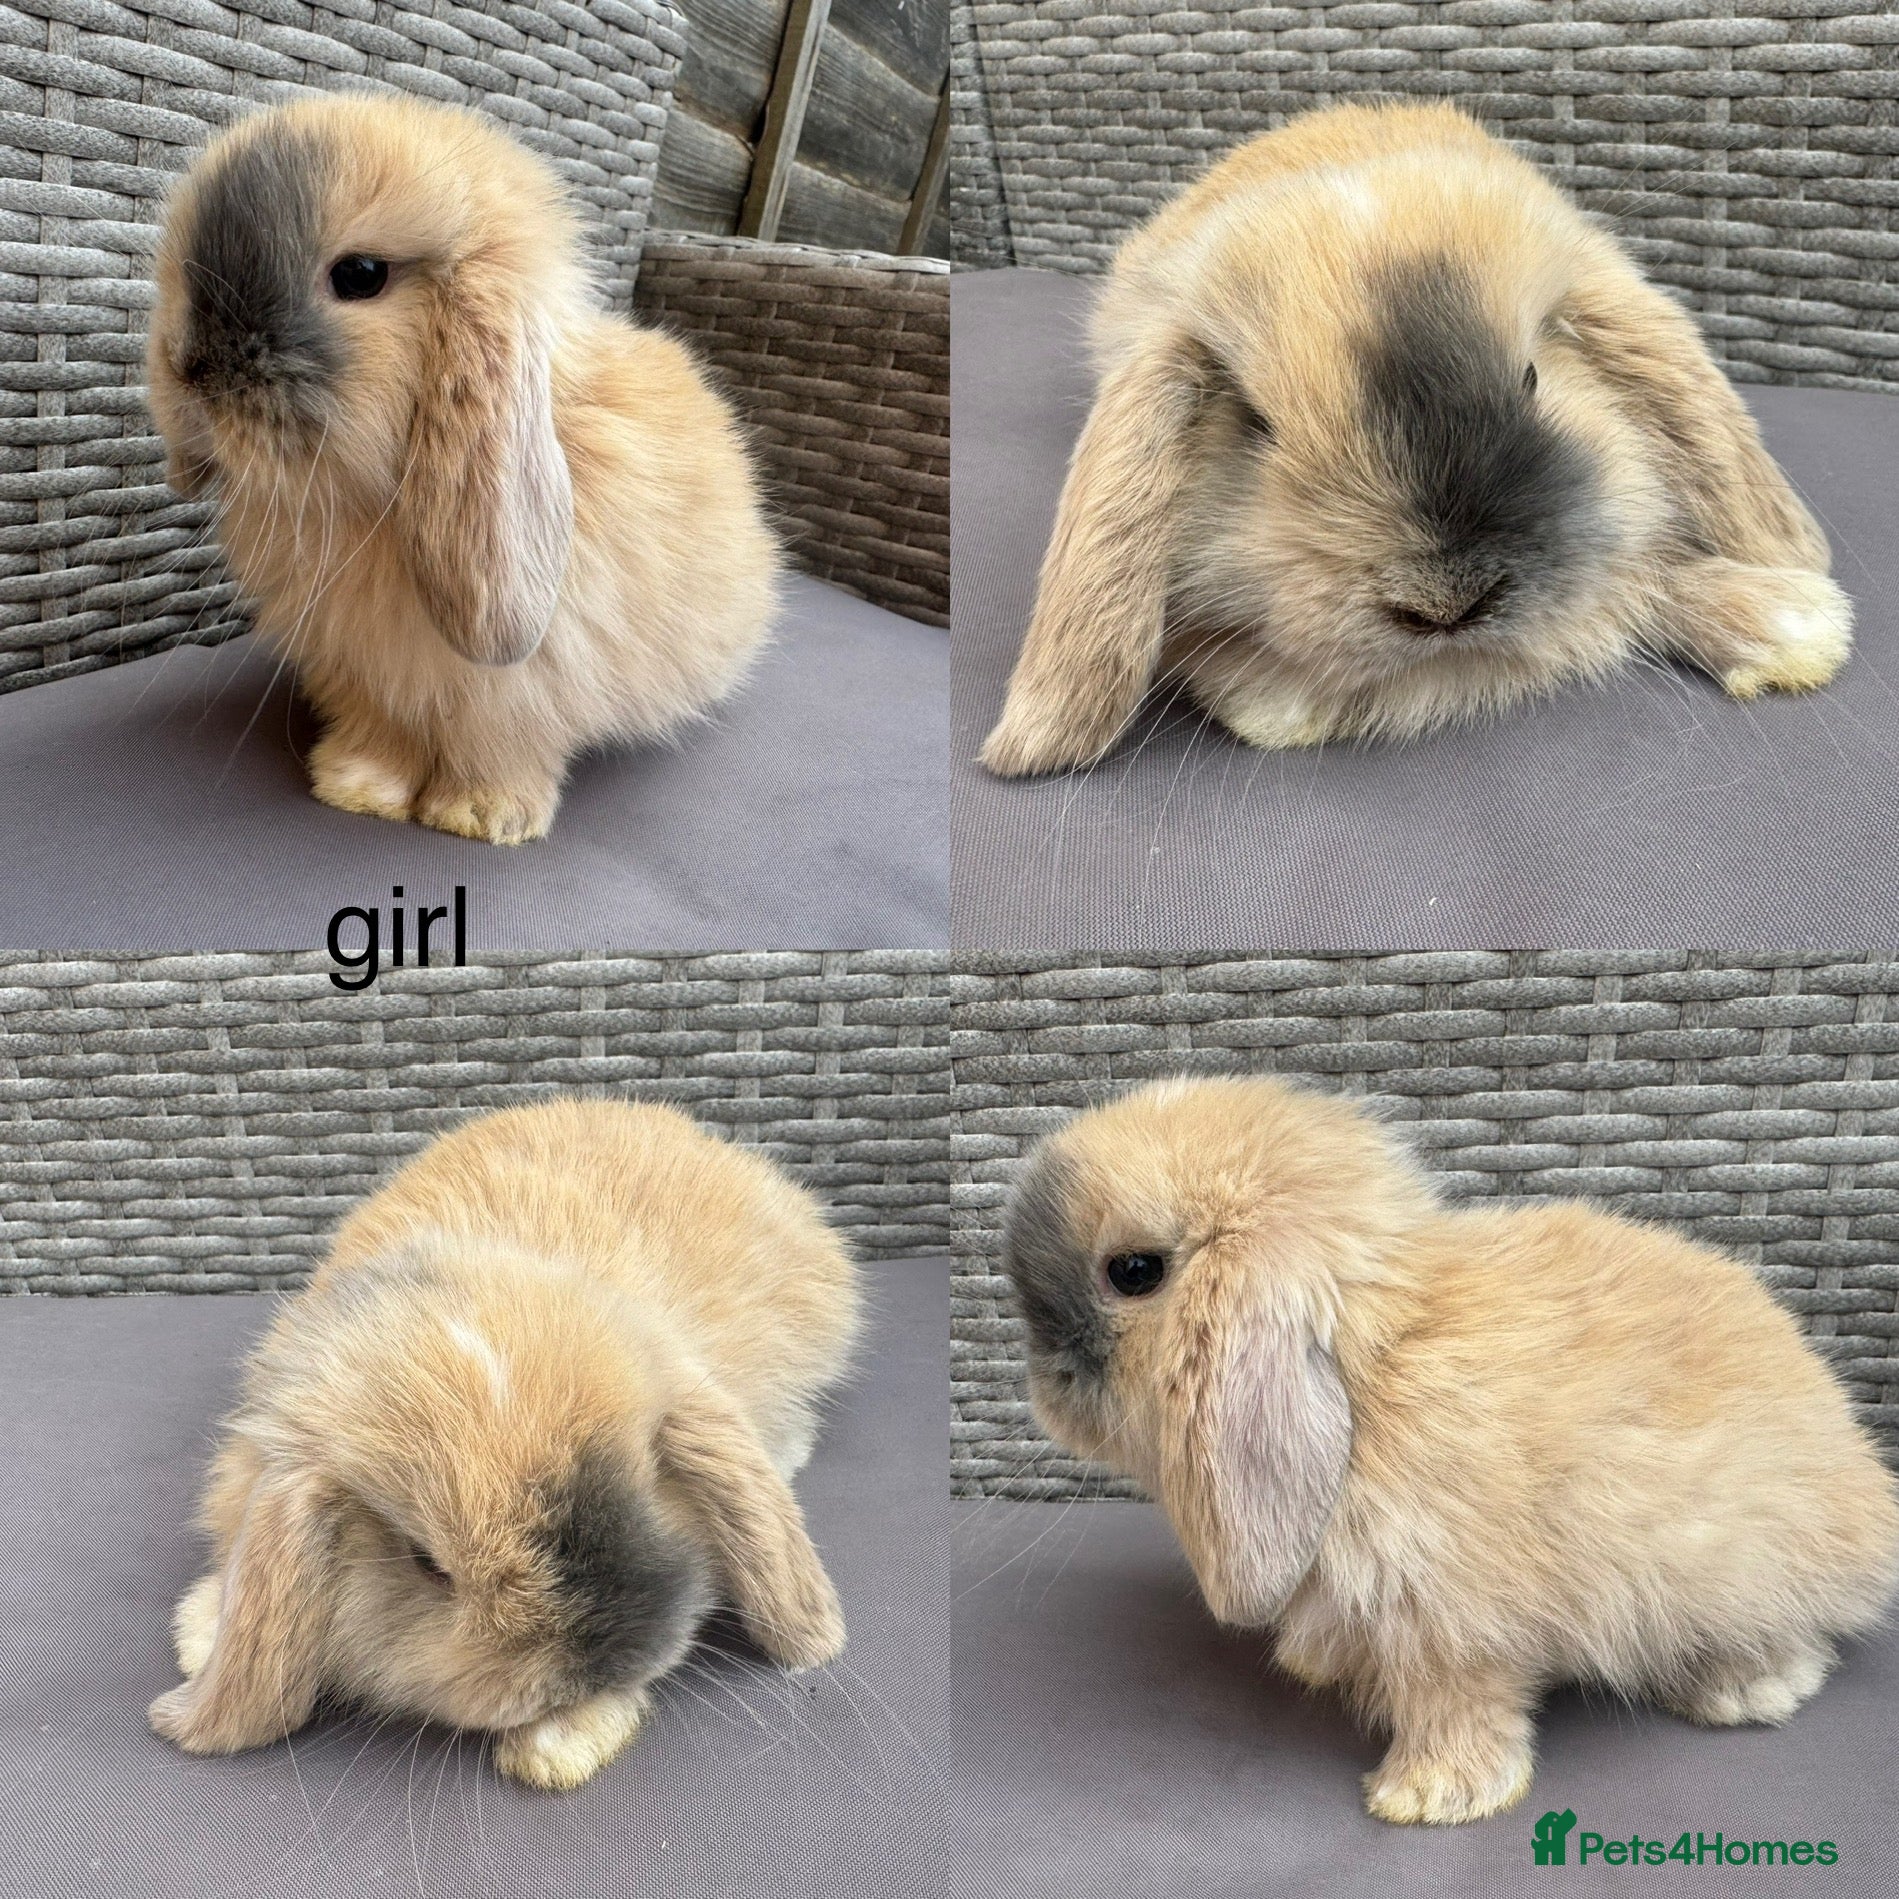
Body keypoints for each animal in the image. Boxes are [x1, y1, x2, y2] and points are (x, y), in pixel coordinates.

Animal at [146, 93, 778, 844]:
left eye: (359, 275)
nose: (188, 368)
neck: (373, 511)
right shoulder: (365, 679)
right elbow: (382, 734)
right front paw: (357, 790)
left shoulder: (517, 695)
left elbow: (496, 750)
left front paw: (482, 817)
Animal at [999, 1075, 1899, 1825]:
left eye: (1134, 1270)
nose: (1040, 1379)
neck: (1369, 1378)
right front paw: (1316, 1666)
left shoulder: (1449, 1623)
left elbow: (1457, 1705)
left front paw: (1425, 1798)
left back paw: (1743, 1689)